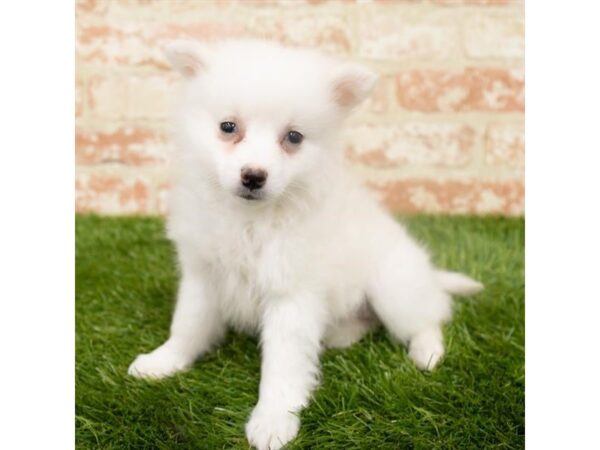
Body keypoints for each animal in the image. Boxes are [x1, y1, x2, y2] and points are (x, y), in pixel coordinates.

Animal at [127, 39, 482, 450]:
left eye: (293, 137)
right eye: (228, 127)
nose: (254, 176)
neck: (251, 220)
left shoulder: (291, 295)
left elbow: (282, 366)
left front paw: (273, 420)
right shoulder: (203, 275)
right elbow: (188, 325)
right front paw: (163, 362)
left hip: (395, 289)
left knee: (428, 319)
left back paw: (427, 353)